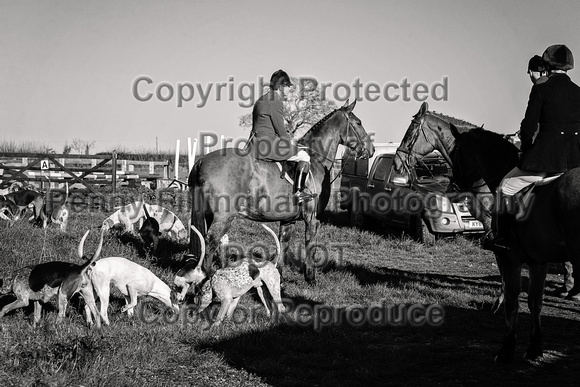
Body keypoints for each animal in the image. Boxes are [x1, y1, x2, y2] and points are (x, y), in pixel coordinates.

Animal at [188, 100, 374, 284]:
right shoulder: (312, 219)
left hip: (209, 215)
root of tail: (201, 161)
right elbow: (310, 245)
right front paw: (311, 278)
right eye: (358, 123)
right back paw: (208, 278)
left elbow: (283, 244)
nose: (371, 150)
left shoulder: (287, 219)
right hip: (223, 217)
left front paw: (280, 277)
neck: (317, 159)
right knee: (210, 242)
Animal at [394, 101, 580, 362]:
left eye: (410, 132)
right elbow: (532, 298)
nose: (396, 163)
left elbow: (507, 279)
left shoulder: (498, 235)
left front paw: (499, 306)